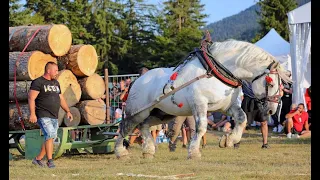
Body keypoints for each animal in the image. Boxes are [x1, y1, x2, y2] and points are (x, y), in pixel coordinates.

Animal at [115, 39, 292, 159]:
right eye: (270, 82)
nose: (272, 110)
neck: (215, 71)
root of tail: (137, 80)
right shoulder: (200, 104)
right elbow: (201, 127)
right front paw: (194, 152)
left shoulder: (227, 107)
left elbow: (242, 119)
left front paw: (228, 140)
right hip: (139, 111)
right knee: (126, 126)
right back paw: (120, 151)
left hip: (162, 113)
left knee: (144, 126)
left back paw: (148, 150)